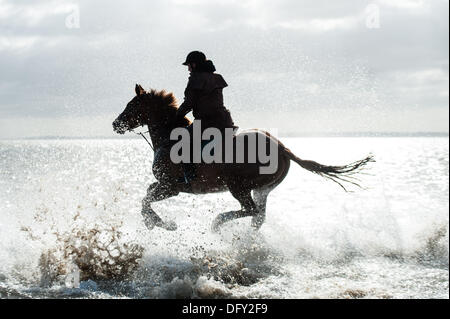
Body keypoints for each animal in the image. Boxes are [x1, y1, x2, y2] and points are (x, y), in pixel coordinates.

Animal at [113, 85, 376, 232]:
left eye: (132, 105)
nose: (115, 124)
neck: (169, 136)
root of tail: (282, 148)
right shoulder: (164, 185)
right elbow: (146, 195)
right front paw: (157, 222)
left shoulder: (171, 187)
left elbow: (145, 201)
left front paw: (162, 224)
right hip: (262, 189)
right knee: (258, 216)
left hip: (238, 186)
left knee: (249, 210)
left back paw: (218, 223)